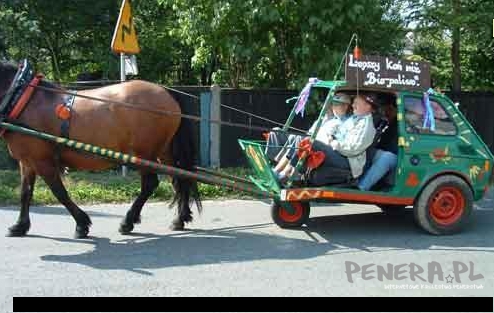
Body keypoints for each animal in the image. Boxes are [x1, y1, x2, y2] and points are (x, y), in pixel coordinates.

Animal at [0, 59, 201, 238]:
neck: (23, 100)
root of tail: (166, 91)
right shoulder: (27, 161)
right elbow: (25, 193)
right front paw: (19, 226)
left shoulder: (42, 161)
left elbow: (60, 193)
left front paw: (82, 224)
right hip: (164, 151)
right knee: (179, 178)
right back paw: (180, 219)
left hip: (144, 153)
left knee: (150, 184)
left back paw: (128, 221)